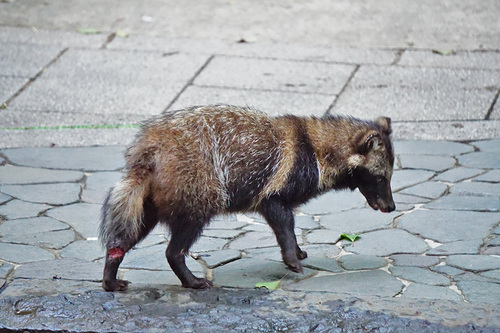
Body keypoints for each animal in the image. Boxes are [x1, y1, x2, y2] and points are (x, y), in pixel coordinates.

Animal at [98, 104, 394, 290]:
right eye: (382, 178)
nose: (391, 207)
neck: (317, 146)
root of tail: (149, 148)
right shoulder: (275, 191)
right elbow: (285, 224)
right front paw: (292, 256)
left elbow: (287, 224)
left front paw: (297, 250)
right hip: (197, 193)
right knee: (175, 248)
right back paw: (189, 278)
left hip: (149, 200)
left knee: (125, 235)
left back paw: (111, 272)